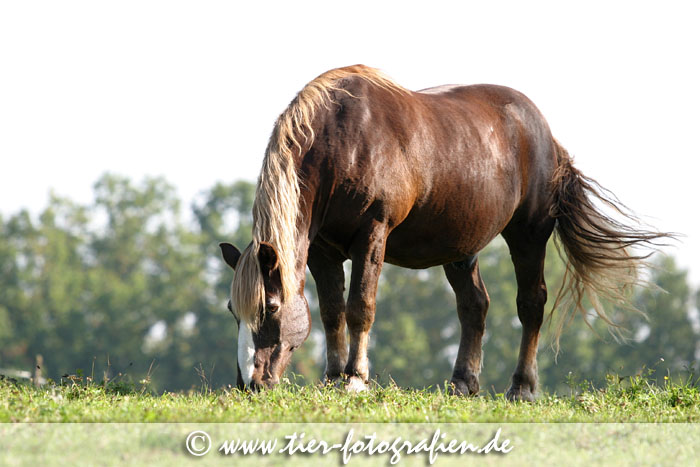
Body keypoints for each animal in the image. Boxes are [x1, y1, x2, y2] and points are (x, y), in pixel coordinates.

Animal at [219, 65, 668, 402]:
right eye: (230, 309)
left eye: (270, 307)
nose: (248, 383)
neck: (343, 142)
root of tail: (544, 132)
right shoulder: (322, 251)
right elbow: (331, 312)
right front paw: (332, 377)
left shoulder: (372, 234)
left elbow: (360, 306)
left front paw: (355, 379)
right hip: (461, 249)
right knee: (475, 307)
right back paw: (462, 383)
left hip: (528, 234)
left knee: (531, 304)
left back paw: (521, 387)